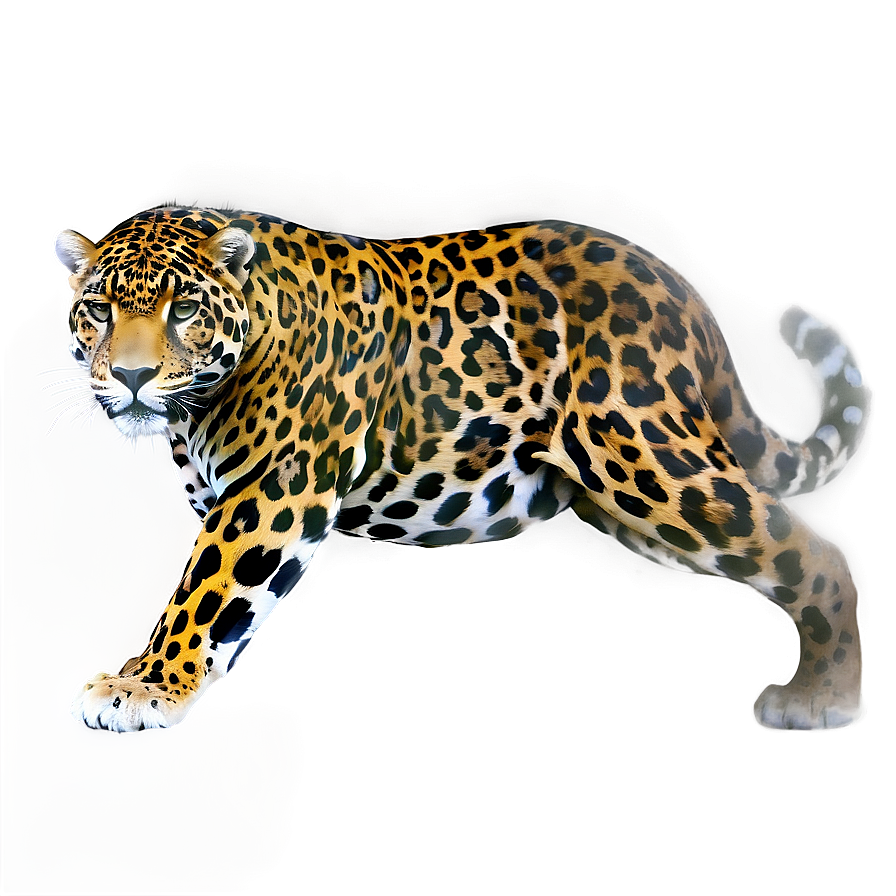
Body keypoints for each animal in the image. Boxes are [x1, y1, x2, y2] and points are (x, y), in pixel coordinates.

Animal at [54, 206, 869, 733]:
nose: (129, 377)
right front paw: (158, 680)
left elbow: (201, 596)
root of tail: (678, 283)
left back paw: (824, 696)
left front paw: (142, 687)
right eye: (98, 309)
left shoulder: (270, 494)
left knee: (811, 550)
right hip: (639, 512)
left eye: (183, 308)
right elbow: (214, 602)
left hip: (648, 457)